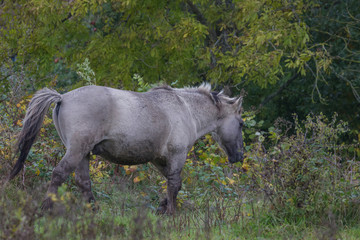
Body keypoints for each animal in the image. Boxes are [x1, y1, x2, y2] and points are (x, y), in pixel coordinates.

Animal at [9, 83, 245, 215]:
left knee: (83, 181)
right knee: (59, 174)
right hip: (76, 151)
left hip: (83, 154)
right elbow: (175, 184)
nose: (239, 156)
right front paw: (171, 212)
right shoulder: (177, 155)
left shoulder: (159, 159)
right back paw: (45, 209)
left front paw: (162, 207)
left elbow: (171, 183)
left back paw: (93, 211)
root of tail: (62, 97)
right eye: (241, 123)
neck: (184, 108)